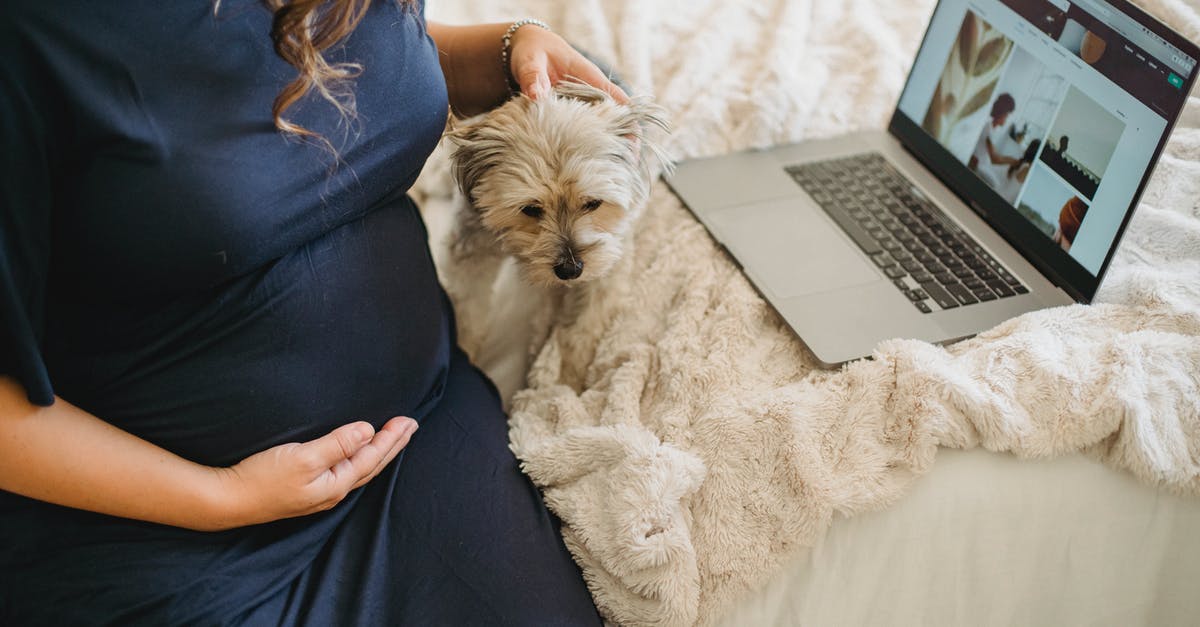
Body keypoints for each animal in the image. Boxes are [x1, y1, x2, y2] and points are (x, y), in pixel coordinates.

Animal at [441, 80, 672, 398]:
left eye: (593, 203)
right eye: (530, 209)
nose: (570, 270)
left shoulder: (608, 259)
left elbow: (584, 328)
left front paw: (567, 380)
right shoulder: (472, 249)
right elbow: (469, 307)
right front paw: (464, 351)